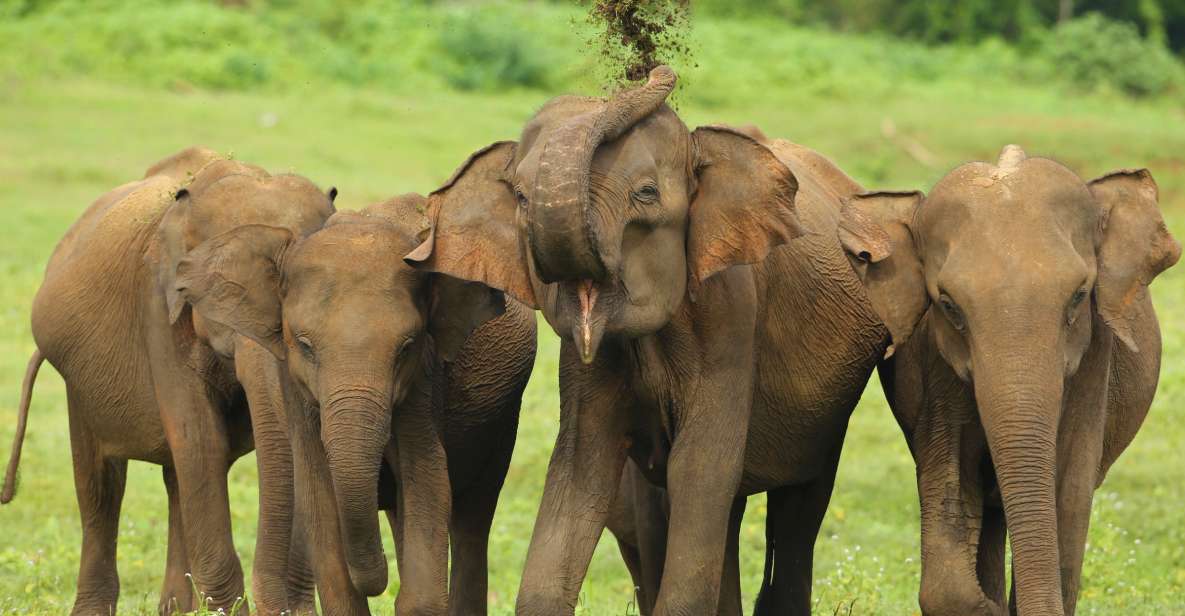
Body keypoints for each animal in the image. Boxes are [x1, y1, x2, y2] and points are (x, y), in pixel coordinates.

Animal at [2, 149, 336, 616]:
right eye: (220, 292)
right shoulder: (158, 308)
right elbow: (199, 439)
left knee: (177, 479)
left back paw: (177, 608)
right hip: (77, 382)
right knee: (100, 485)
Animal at [174, 194, 537, 616]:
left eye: (406, 347)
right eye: (304, 345)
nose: (379, 580)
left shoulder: (424, 378)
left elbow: (428, 480)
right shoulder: (294, 387)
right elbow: (318, 499)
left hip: (502, 420)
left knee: (474, 515)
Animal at [402, 67, 891, 616]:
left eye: (647, 194)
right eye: (522, 199)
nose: (652, 70)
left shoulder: (731, 318)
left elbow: (700, 470)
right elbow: (581, 471)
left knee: (795, 510)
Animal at [838, 145, 1180, 616]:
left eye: (1079, 296)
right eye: (948, 305)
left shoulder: (1095, 359)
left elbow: (1069, 494)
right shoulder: (937, 366)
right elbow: (950, 480)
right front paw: (990, 604)